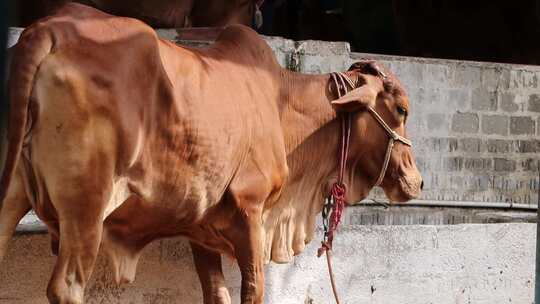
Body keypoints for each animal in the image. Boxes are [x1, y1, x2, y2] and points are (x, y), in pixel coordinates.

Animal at [0, 2, 422, 304]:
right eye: (402, 109)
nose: (417, 181)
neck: (281, 104)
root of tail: (47, 29)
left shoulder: (200, 232)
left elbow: (216, 294)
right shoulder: (251, 213)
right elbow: (253, 290)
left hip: (13, 190)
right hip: (86, 206)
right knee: (67, 286)